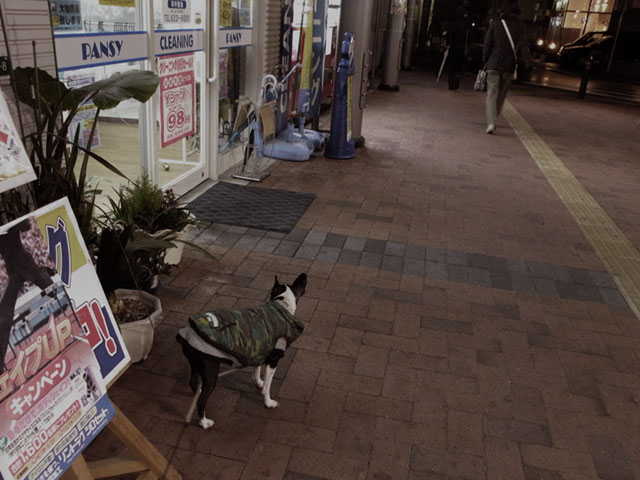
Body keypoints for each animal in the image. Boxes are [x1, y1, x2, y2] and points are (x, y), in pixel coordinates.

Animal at [176, 273, 306, 429]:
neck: (281, 305)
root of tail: (189, 334)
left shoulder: (261, 348)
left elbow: (257, 369)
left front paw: (258, 381)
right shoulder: (274, 359)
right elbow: (268, 386)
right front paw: (268, 402)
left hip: (195, 365)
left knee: (193, 382)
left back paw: (197, 393)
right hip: (211, 371)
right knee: (202, 400)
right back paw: (204, 422)